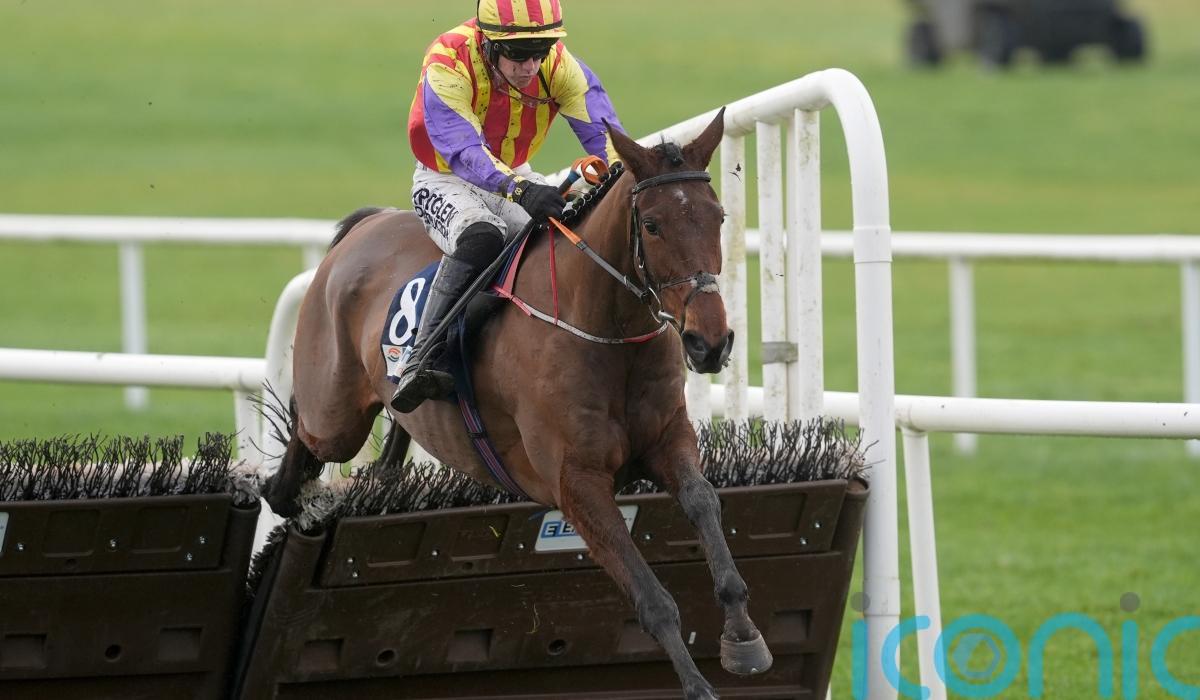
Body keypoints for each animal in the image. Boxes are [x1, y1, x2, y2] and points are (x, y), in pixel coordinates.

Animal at [263, 108, 772, 699]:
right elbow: (652, 599)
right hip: (336, 418)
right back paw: (291, 497)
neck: (605, 330)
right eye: (652, 225)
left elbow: (703, 503)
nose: (709, 342)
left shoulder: (670, 441)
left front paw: (744, 639)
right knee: (300, 443)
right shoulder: (576, 483)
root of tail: (368, 225)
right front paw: (697, 685)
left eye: (718, 217)